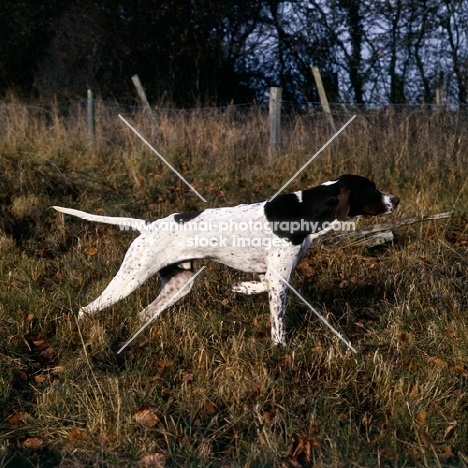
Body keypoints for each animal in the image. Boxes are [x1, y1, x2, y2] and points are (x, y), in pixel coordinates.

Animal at [54, 174, 398, 346]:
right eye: (371, 189)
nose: (396, 199)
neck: (306, 209)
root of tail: (147, 225)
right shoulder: (279, 278)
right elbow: (278, 324)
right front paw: (280, 352)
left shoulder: (274, 275)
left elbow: (259, 285)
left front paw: (241, 288)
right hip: (129, 279)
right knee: (87, 310)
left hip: (179, 285)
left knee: (144, 313)